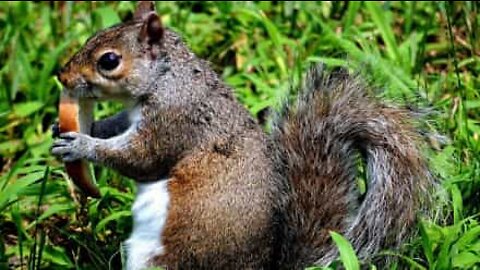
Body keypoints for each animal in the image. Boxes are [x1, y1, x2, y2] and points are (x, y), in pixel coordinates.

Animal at [51, 2, 436, 270]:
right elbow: (116, 125)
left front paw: (82, 144)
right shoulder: (135, 115)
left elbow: (141, 159)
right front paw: (77, 129)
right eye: (93, 36)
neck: (167, 78)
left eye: (109, 61)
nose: (63, 76)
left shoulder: (176, 123)